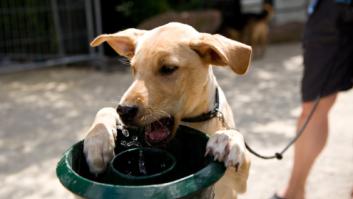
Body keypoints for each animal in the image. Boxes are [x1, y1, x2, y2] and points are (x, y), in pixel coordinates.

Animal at [83, 22, 250, 199]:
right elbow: (104, 110)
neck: (190, 121)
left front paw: (226, 139)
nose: (124, 110)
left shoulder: (238, 185)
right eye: (133, 69)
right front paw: (97, 143)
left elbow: (237, 140)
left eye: (168, 68)